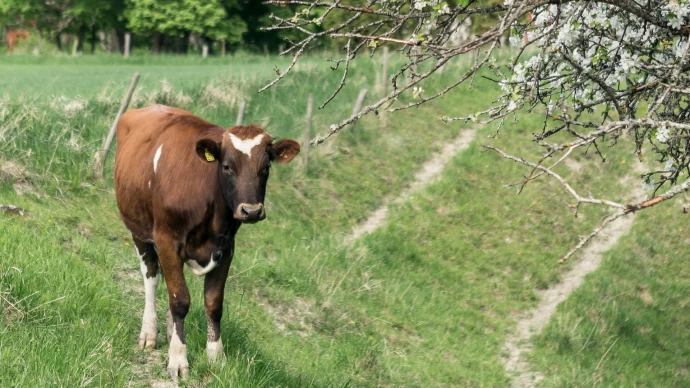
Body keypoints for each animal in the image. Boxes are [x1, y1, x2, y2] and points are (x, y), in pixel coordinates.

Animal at [114, 104, 300, 378]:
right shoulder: (167, 240)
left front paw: (216, 358)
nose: (251, 211)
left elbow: (213, 304)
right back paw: (149, 332)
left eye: (266, 167)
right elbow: (180, 300)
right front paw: (178, 359)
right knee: (152, 278)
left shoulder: (226, 248)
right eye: (226, 166)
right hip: (138, 229)